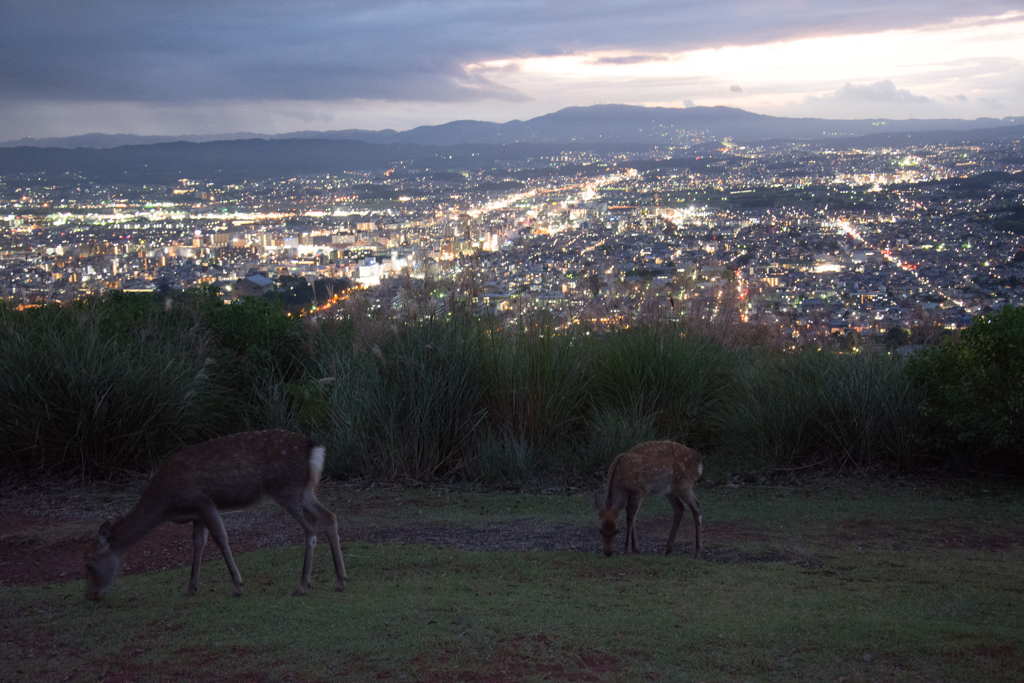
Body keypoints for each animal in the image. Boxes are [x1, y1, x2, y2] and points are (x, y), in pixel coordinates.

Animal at [84, 430, 348, 602]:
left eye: (89, 565)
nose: (91, 596)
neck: (166, 504)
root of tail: (315, 450)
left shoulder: (203, 502)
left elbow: (221, 538)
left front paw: (238, 586)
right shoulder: (196, 514)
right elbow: (198, 543)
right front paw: (191, 587)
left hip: (286, 488)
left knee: (311, 526)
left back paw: (303, 585)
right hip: (305, 490)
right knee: (329, 517)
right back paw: (340, 580)